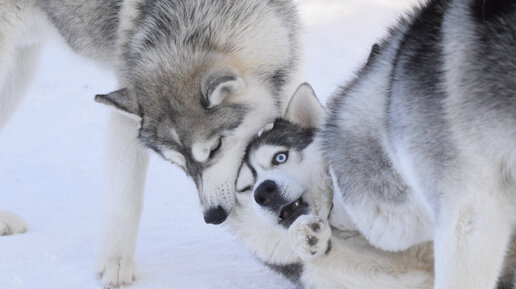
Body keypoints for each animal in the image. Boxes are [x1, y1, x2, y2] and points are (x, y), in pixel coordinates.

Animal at [0, 0, 300, 286]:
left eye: (215, 148)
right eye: (176, 164)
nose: (212, 215)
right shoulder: (125, 115)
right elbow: (126, 200)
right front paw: (116, 262)